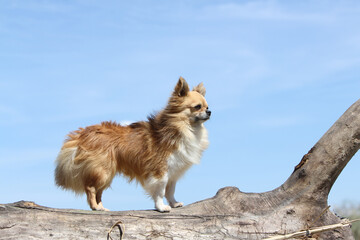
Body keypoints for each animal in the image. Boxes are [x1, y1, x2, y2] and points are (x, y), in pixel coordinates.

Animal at [54, 77, 210, 212]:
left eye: (207, 106)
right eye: (197, 107)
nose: (209, 111)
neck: (184, 128)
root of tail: (84, 133)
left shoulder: (172, 172)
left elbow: (170, 191)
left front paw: (174, 203)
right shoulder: (160, 172)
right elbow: (160, 192)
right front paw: (161, 207)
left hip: (106, 173)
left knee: (98, 191)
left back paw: (101, 207)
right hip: (103, 171)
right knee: (90, 188)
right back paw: (96, 207)